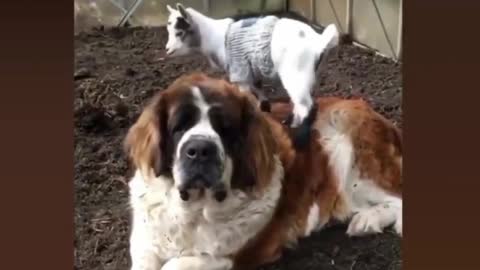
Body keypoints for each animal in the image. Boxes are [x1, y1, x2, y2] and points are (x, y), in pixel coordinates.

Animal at [124, 73, 402, 268]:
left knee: (396, 197)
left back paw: (368, 220)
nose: (201, 149)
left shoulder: (231, 255)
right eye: (179, 128)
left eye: (226, 129)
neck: (194, 211)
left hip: (348, 148)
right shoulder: (145, 241)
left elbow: (177, 263)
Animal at [165, 3, 342, 127]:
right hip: (311, 74)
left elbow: (245, 93)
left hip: (295, 74)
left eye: (179, 32)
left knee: (304, 105)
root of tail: (319, 42)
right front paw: (264, 107)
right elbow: (258, 88)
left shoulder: (240, 70)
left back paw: (294, 128)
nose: (167, 50)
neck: (216, 39)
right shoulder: (251, 69)